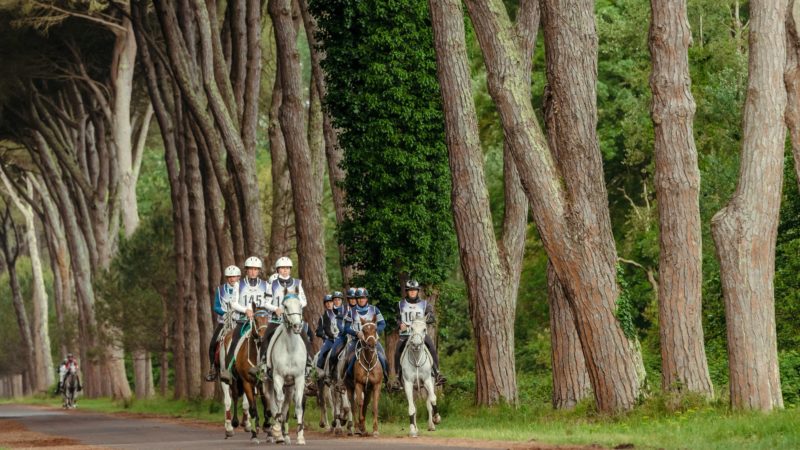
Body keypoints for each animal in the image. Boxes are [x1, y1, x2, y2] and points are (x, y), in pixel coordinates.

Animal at [222, 306, 272, 442]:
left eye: (268, 318)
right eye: (255, 319)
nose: (263, 337)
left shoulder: (263, 383)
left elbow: (267, 407)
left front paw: (268, 430)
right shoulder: (246, 382)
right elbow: (253, 409)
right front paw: (254, 435)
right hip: (233, 380)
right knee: (234, 396)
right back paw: (233, 424)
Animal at [268, 294, 308, 444]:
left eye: (300, 305)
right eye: (285, 306)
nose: (297, 326)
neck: (290, 349)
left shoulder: (299, 378)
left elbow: (298, 404)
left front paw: (300, 436)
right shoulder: (278, 377)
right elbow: (279, 400)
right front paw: (276, 430)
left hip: (289, 385)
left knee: (285, 405)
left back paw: (284, 435)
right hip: (268, 383)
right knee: (273, 403)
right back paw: (277, 433)